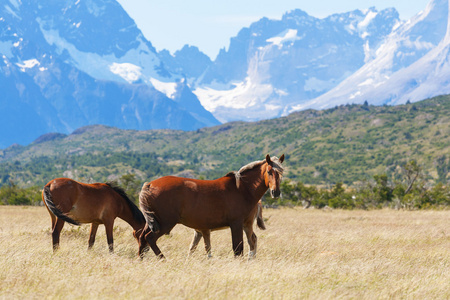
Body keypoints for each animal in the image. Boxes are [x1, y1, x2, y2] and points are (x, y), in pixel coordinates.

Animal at [138, 154, 284, 258]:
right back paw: (163, 259)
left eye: (281, 173)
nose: (276, 192)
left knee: (141, 238)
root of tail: (149, 185)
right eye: (269, 172)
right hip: (165, 223)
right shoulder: (236, 224)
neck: (242, 188)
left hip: (152, 222)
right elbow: (237, 249)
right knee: (149, 238)